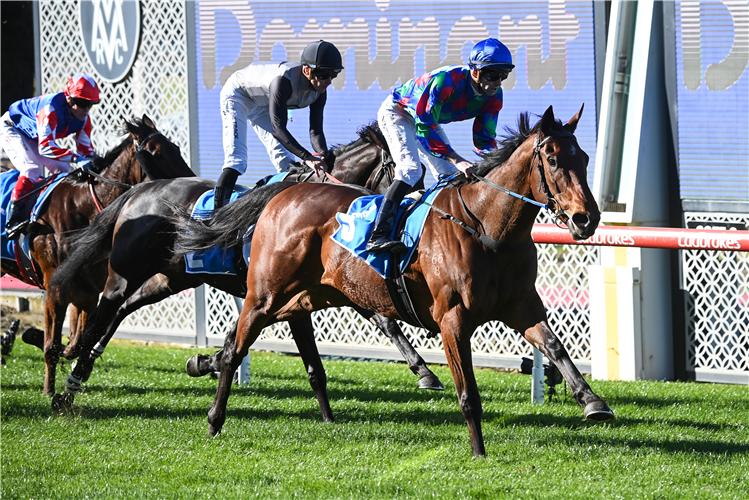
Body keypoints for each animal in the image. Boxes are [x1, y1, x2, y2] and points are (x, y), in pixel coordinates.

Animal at [0, 115, 196, 396]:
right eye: (157, 153)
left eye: (177, 148)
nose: (194, 185)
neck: (82, 209)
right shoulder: (55, 287)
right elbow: (54, 346)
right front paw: (49, 390)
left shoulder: (88, 292)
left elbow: (75, 344)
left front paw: (35, 338)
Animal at [48, 124, 444, 414]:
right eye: (403, 174)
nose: (413, 213)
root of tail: (138, 193)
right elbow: (384, 321)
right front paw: (425, 372)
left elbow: (383, 320)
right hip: (125, 273)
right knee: (103, 311)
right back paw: (69, 381)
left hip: (171, 277)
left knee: (125, 308)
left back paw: (90, 361)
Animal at [174, 105, 612, 458]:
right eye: (552, 159)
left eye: (584, 156)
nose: (586, 218)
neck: (487, 228)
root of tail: (284, 192)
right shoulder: (452, 319)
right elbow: (468, 392)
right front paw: (478, 451)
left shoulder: (522, 307)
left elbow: (555, 346)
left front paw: (593, 402)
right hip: (266, 292)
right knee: (238, 345)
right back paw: (214, 417)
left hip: (310, 295)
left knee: (242, 335)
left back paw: (209, 364)